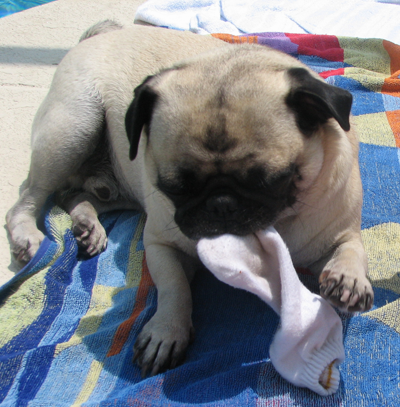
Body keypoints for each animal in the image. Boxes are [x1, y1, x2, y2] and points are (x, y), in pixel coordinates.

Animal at [6, 21, 374, 380]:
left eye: (269, 181)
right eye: (176, 188)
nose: (221, 203)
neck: (280, 223)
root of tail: (102, 34)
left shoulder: (337, 232)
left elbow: (351, 249)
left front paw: (348, 279)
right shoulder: (161, 244)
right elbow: (174, 287)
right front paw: (167, 331)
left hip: (107, 181)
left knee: (74, 194)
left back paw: (86, 225)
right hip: (72, 128)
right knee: (29, 195)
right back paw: (28, 235)